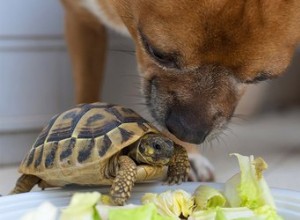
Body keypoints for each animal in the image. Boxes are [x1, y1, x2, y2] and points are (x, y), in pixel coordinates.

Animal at [60, 0, 300, 179]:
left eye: (260, 78)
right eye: (157, 53)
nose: (189, 132)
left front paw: (186, 157)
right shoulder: (81, 21)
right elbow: (87, 93)